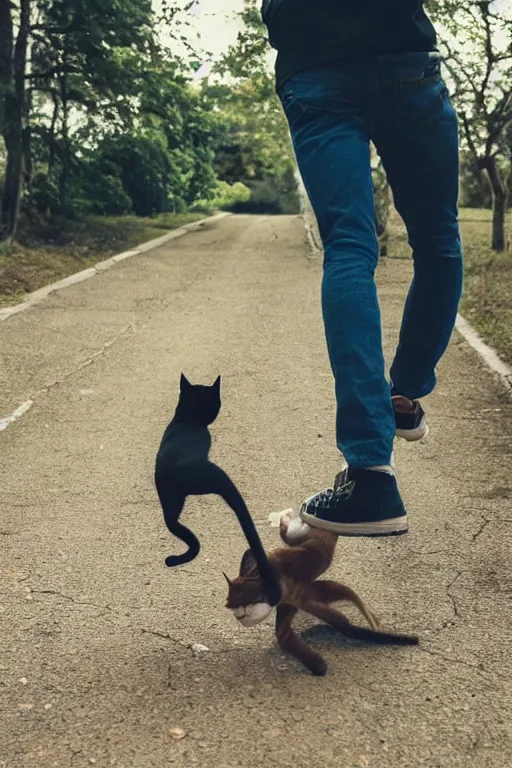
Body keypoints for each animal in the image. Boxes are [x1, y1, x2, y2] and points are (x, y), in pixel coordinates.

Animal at [226, 512, 418, 676]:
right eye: (229, 603)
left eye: (247, 601)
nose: (236, 614)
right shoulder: (298, 600)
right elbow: (286, 634)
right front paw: (316, 663)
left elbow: (350, 613)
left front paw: (375, 624)